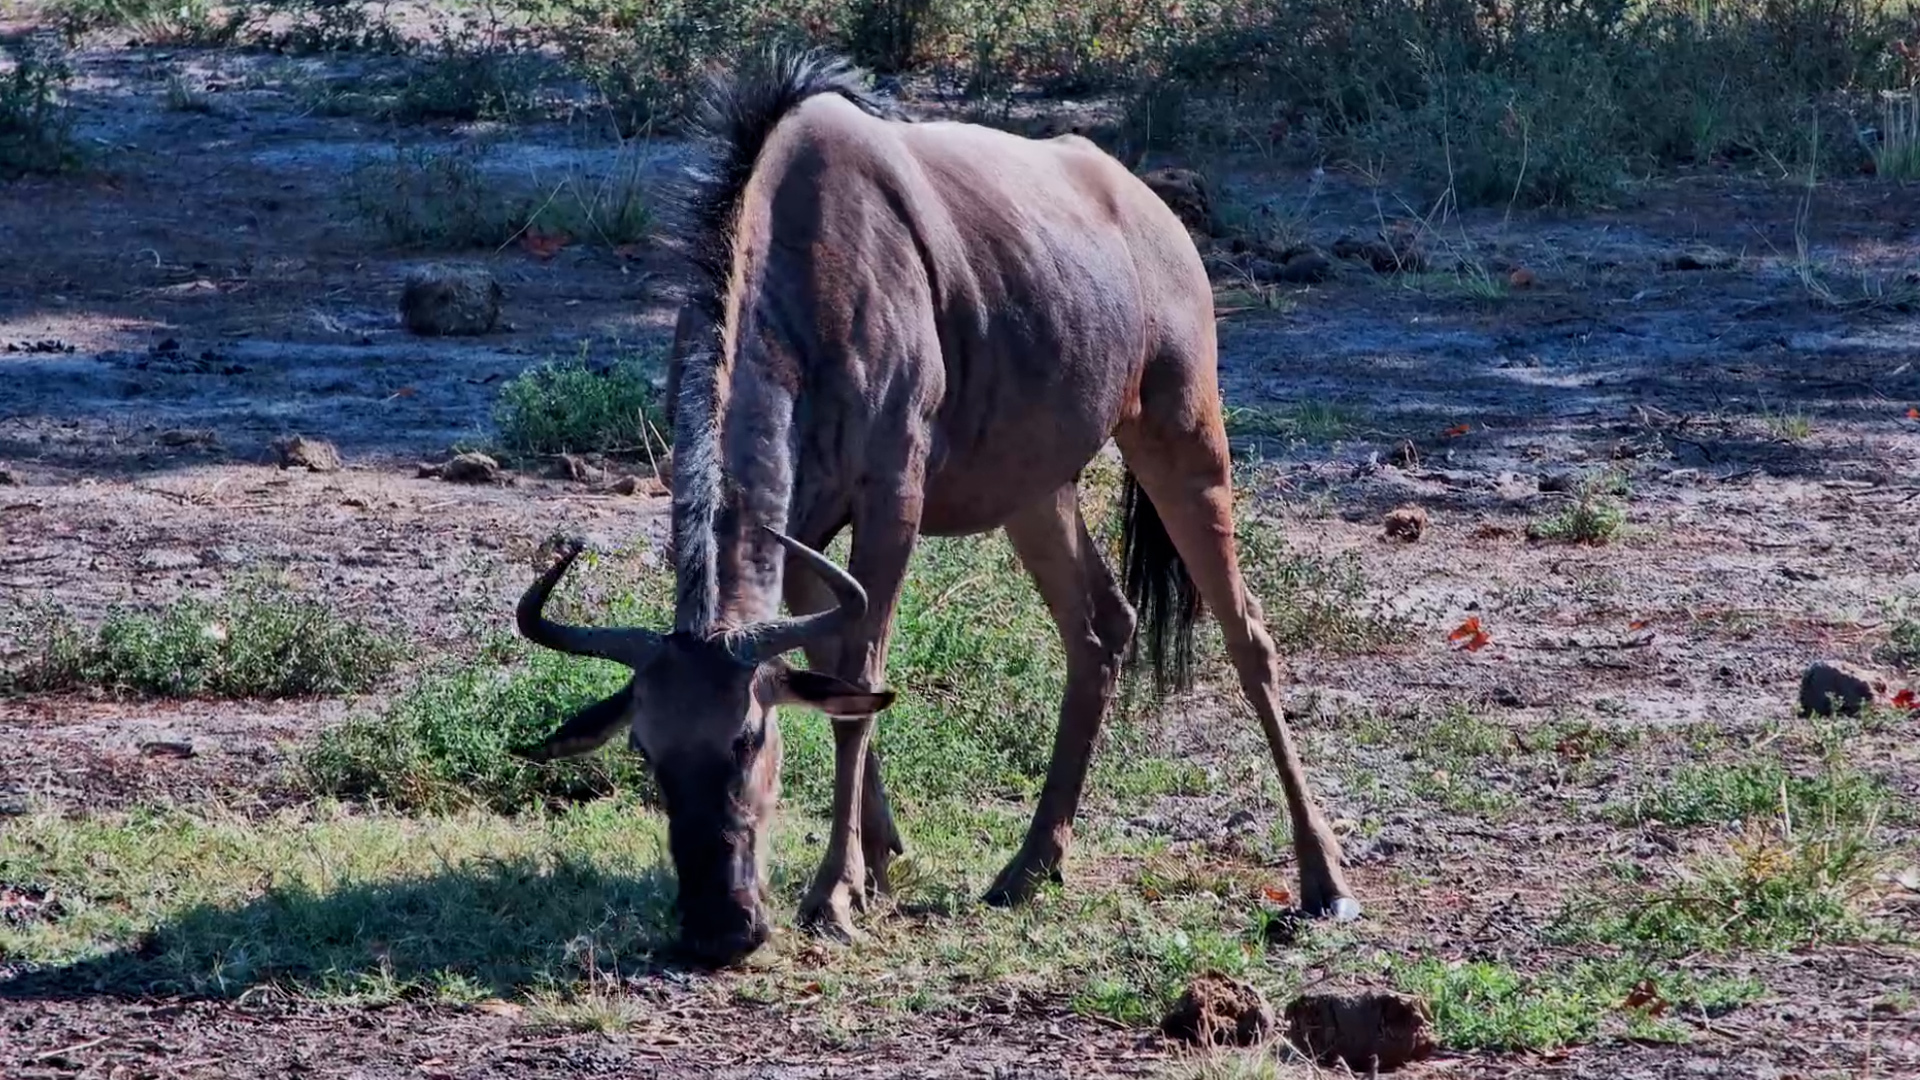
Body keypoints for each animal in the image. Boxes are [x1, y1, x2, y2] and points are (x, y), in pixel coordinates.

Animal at [513, 49, 1358, 965]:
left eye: (749, 738)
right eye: (646, 749)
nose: (717, 928)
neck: (803, 266)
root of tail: (1147, 206)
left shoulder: (893, 499)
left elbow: (861, 677)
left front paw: (834, 893)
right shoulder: (805, 528)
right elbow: (838, 675)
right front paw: (876, 860)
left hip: (1182, 434)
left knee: (1247, 637)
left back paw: (1325, 882)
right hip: (1037, 491)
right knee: (1101, 626)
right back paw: (1028, 867)